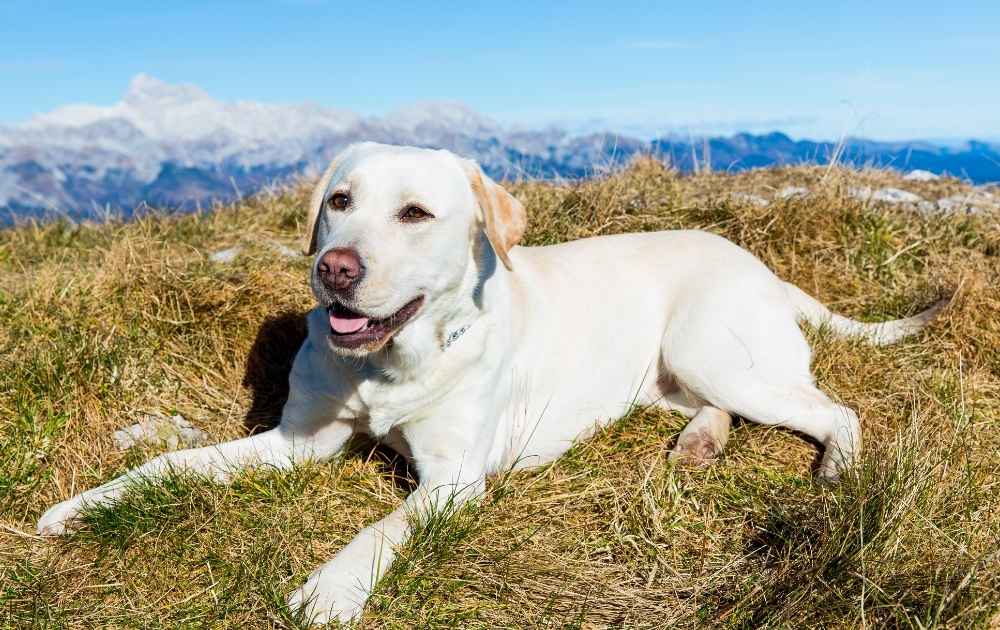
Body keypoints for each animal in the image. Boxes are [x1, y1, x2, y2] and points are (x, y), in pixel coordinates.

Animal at [37, 142, 944, 624]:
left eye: (414, 214)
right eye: (339, 201)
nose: (335, 269)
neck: (394, 362)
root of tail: (766, 268)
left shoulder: (452, 482)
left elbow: (379, 529)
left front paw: (328, 592)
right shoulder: (297, 442)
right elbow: (167, 466)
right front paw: (88, 504)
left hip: (712, 347)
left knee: (836, 409)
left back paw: (835, 472)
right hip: (673, 375)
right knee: (722, 407)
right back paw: (697, 445)